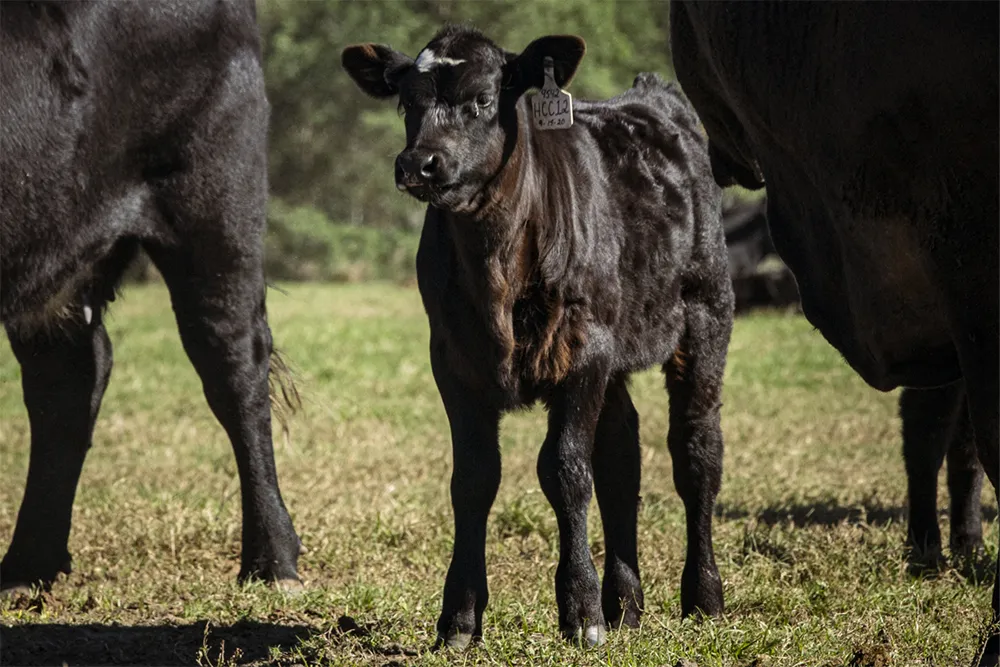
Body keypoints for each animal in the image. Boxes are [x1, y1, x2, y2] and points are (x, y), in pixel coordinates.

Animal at [342, 25, 734, 648]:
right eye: (407, 103)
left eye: (483, 99)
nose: (419, 163)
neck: (496, 268)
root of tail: (653, 96)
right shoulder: (452, 359)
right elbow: (474, 477)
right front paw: (460, 617)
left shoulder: (581, 352)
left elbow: (565, 471)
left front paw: (580, 610)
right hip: (615, 352)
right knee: (621, 456)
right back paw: (625, 604)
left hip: (704, 317)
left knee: (696, 452)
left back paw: (702, 599)